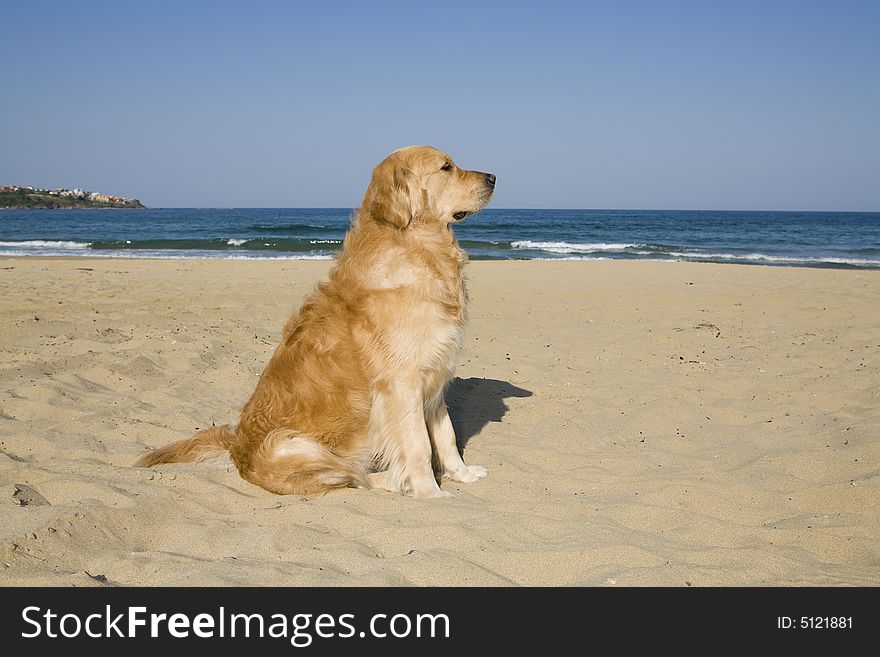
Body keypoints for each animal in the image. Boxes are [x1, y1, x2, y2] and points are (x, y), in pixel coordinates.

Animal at [136, 147, 496, 498]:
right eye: (446, 167)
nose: (493, 177)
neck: (419, 250)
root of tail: (237, 446)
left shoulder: (435, 376)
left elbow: (446, 436)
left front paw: (462, 474)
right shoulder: (401, 383)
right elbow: (419, 445)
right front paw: (429, 492)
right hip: (296, 446)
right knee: (354, 476)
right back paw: (397, 481)